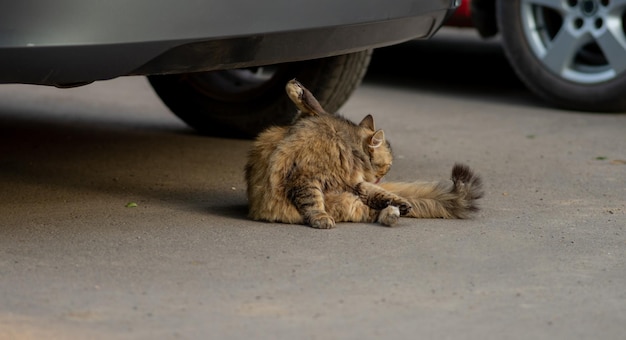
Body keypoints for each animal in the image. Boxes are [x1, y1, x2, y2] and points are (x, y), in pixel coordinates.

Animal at [244, 79, 482, 228]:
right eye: (387, 166)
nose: (381, 178)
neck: (347, 147)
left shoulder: (353, 180)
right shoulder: (305, 177)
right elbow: (313, 201)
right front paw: (321, 218)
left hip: (353, 197)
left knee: (376, 205)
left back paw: (397, 209)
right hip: (348, 200)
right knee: (371, 208)